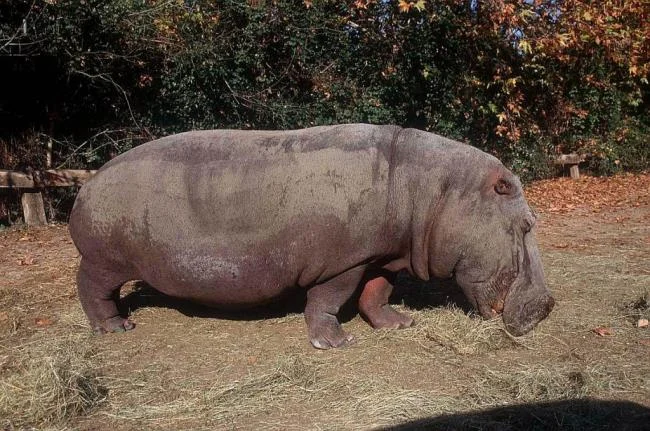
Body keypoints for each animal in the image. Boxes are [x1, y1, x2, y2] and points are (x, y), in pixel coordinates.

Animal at [69, 124, 554, 349]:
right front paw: (337, 343)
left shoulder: (380, 255)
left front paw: (400, 324)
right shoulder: (343, 262)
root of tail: (86, 186)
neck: (436, 192)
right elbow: (330, 299)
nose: (548, 305)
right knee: (91, 288)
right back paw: (117, 328)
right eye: (526, 224)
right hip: (104, 260)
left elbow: (377, 293)